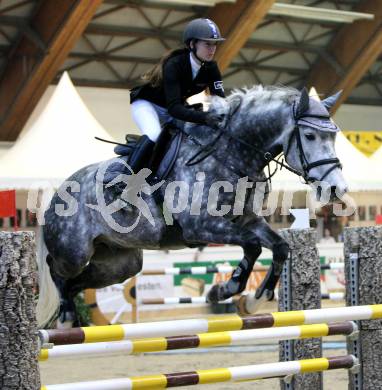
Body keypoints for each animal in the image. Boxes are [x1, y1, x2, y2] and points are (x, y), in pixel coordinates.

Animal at [37, 87, 348, 326]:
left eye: (334, 136)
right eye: (309, 136)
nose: (337, 189)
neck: (230, 154)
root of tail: (57, 195)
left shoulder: (246, 221)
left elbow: (280, 247)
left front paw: (253, 300)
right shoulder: (201, 227)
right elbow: (252, 246)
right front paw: (225, 289)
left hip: (121, 263)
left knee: (77, 282)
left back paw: (71, 318)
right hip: (74, 252)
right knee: (57, 271)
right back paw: (65, 318)